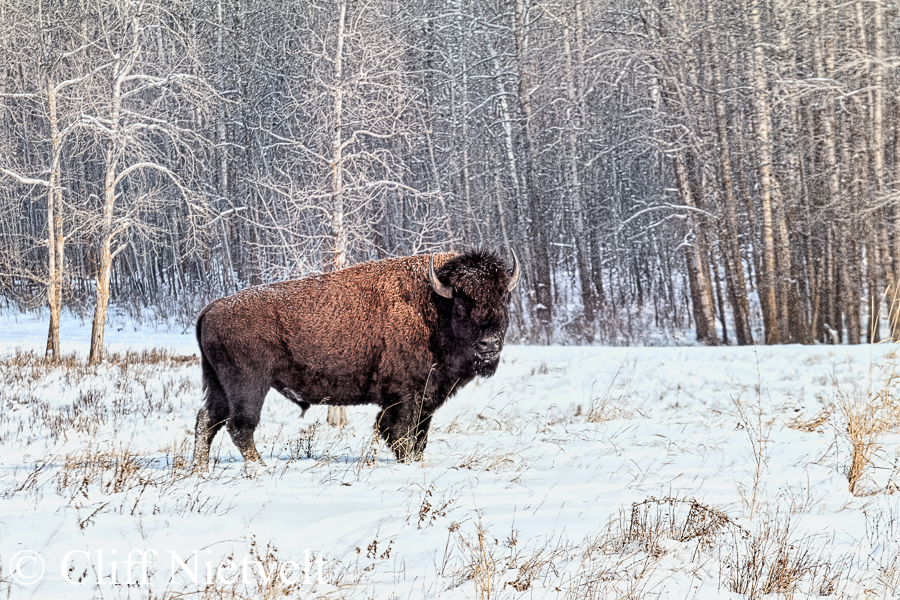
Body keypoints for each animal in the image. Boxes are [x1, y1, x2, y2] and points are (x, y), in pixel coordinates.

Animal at [195, 248, 520, 468]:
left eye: (503, 299)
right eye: (463, 303)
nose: (489, 343)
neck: (434, 304)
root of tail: (210, 309)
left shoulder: (427, 398)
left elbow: (420, 436)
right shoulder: (405, 396)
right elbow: (402, 433)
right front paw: (408, 463)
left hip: (219, 385)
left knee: (207, 421)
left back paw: (200, 469)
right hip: (249, 385)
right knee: (240, 426)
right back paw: (260, 468)